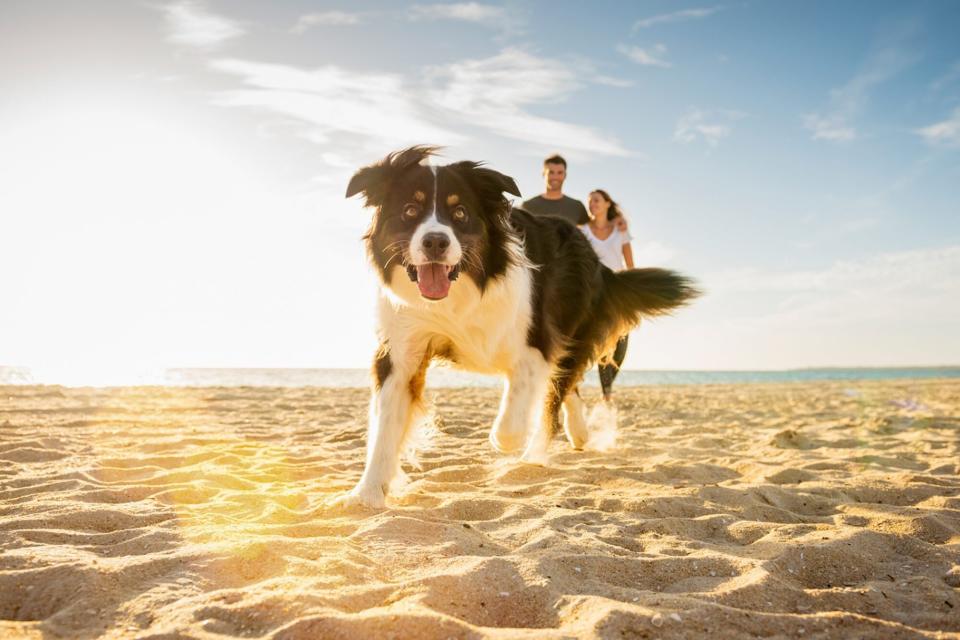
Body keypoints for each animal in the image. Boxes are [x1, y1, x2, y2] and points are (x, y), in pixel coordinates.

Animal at [334, 146, 692, 510]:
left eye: (460, 212)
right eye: (409, 210)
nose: (435, 242)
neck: (458, 294)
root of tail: (595, 257)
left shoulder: (537, 343)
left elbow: (513, 418)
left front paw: (506, 442)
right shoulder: (401, 350)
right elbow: (385, 427)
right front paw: (366, 494)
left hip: (570, 327)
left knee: (556, 393)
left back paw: (535, 454)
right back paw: (578, 432)